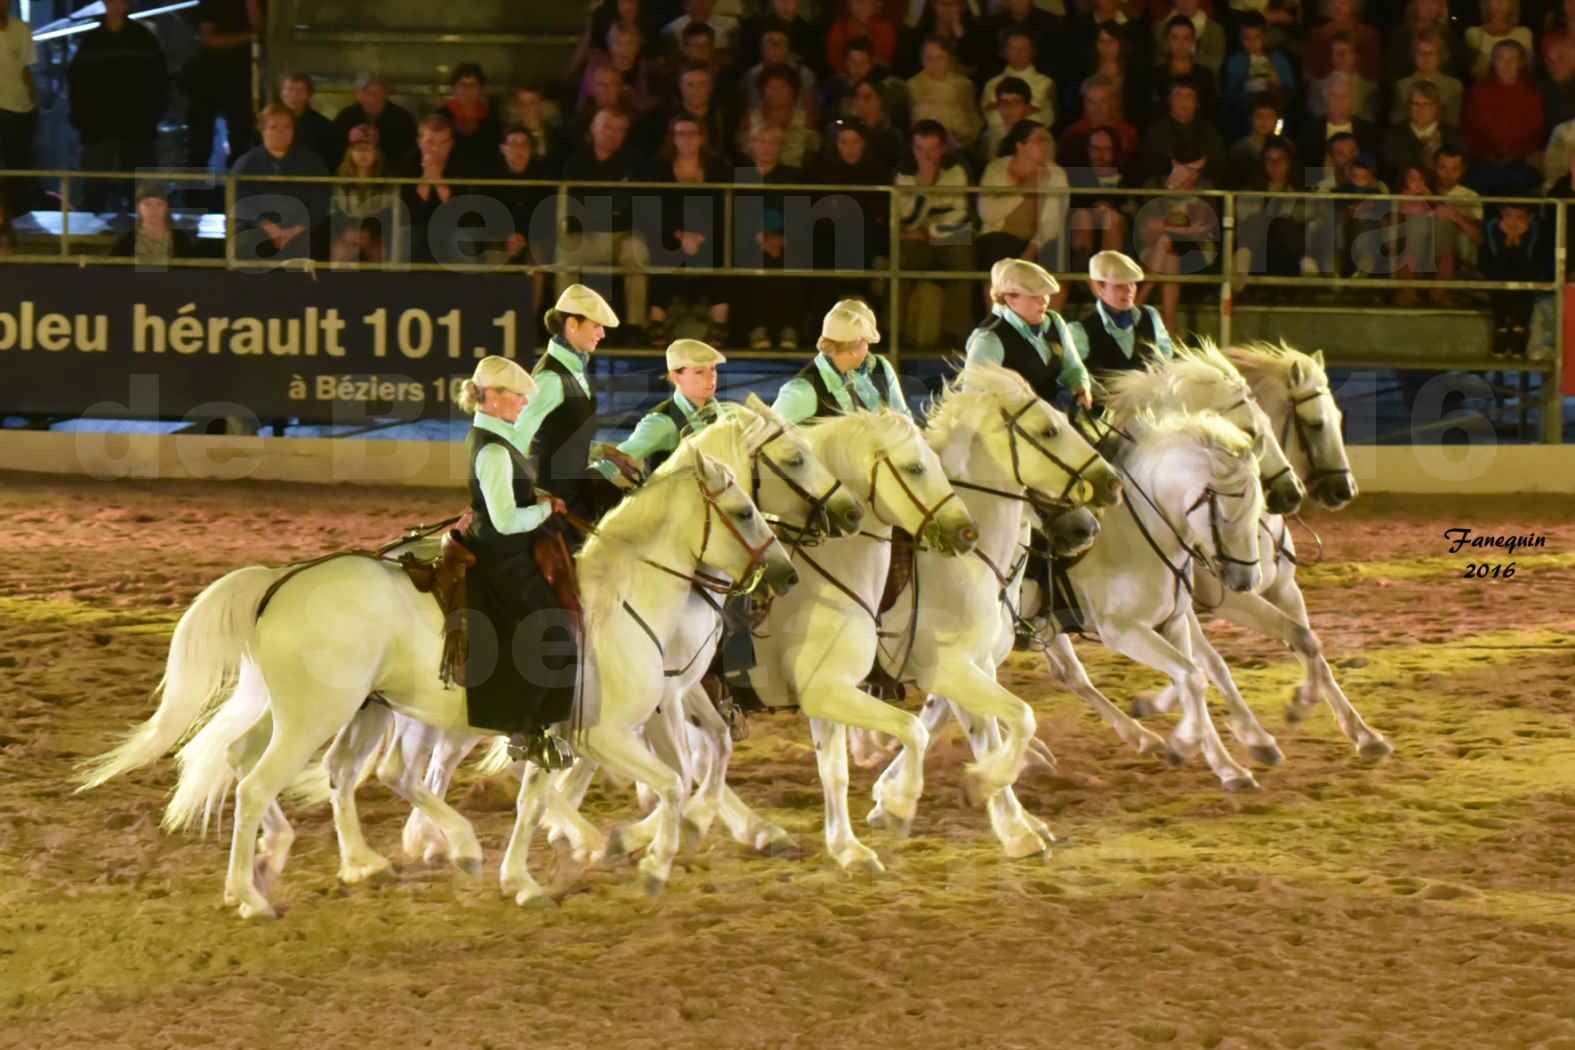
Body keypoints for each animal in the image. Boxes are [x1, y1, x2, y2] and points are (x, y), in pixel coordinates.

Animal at [81, 447, 800, 913]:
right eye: (741, 510)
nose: (787, 574)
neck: (622, 603)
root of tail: (281, 581)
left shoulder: (556, 731)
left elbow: (534, 800)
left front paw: (521, 878)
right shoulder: (608, 734)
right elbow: (672, 784)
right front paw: (651, 861)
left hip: (319, 710)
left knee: (258, 760)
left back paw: (338, 860)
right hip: (318, 715)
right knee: (263, 782)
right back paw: (250, 895)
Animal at [1134, 349, 1392, 758]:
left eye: (1337, 420)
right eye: (1316, 424)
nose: (1345, 489)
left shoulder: (1284, 589)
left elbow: (1309, 644)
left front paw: (1363, 733)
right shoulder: (1227, 599)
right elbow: (1279, 644)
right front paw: (1291, 710)